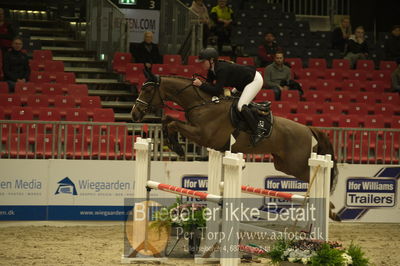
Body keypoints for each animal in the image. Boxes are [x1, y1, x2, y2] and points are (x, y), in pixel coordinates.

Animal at [133, 74, 340, 219]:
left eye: (148, 91)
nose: (134, 114)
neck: (202, 103)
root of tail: (308, 128)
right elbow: (168, 120)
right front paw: (172, 143)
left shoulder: (203, 135)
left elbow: (173, 123)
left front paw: (176, 146)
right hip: (284, 165)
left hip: (297, 164)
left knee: (318, 177)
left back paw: (331, 211)